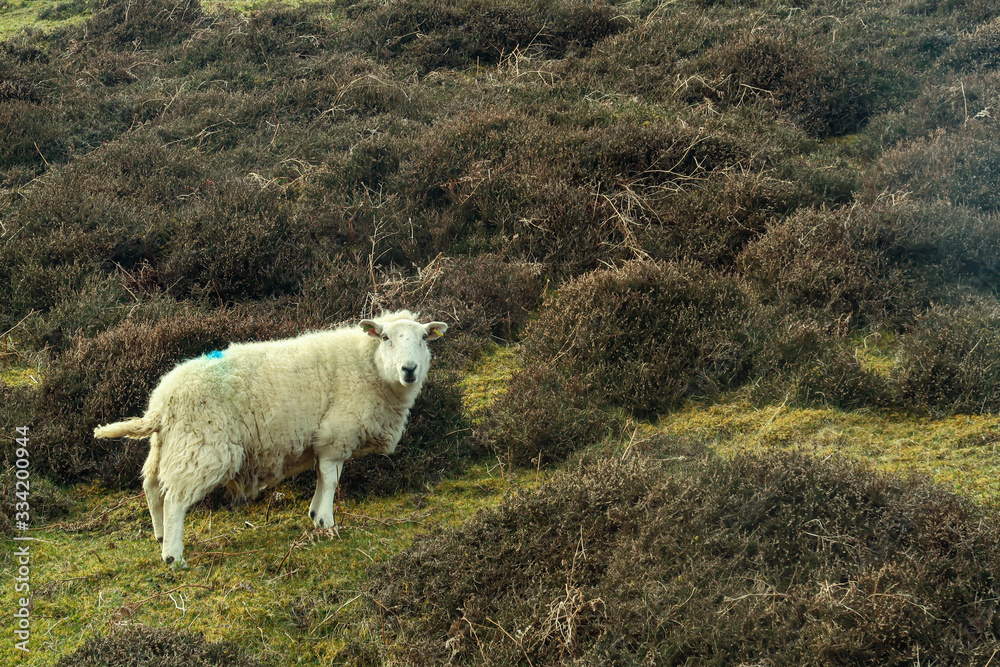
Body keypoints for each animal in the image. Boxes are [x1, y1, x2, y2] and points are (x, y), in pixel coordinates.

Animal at [93, 310, 447, 567]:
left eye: (423, 338)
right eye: (385, 337)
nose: (409, 369)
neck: (368, 366)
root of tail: (161, 405)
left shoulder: (326, 442)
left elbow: (324, 478)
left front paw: (315, 515)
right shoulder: (336, 435)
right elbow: (332, 480)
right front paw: (328, 523)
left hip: (169, 445)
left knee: (152, 487)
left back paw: (159, 536)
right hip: (203, 447)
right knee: (175, 500)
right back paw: (173, 555)